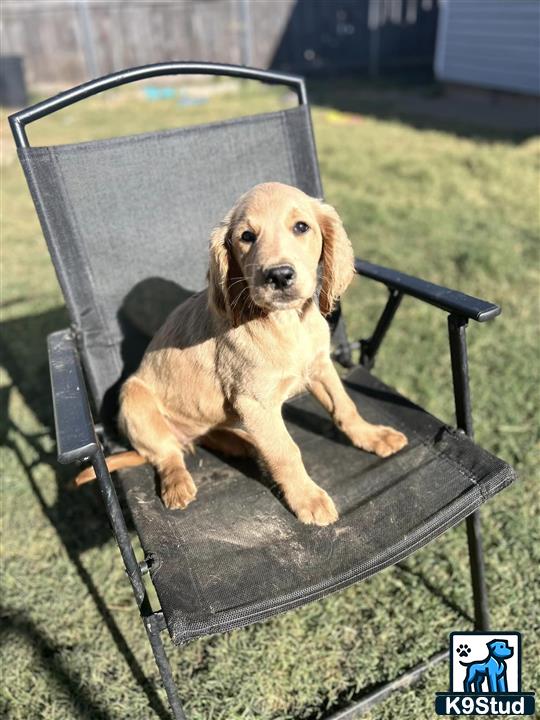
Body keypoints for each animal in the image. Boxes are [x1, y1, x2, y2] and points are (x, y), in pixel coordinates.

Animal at [98, 183, 404, 524]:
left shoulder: (320, 367)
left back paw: (241, 443)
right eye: (246, 236)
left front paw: (372, 436)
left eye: (301, 227)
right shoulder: (255, 402)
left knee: (204, 436)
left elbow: (345, 406)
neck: (285, 323)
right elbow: (285, 451)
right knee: (167, 453)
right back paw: (178, 482)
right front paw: (308, 498)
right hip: (134, 400)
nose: (279, 275)